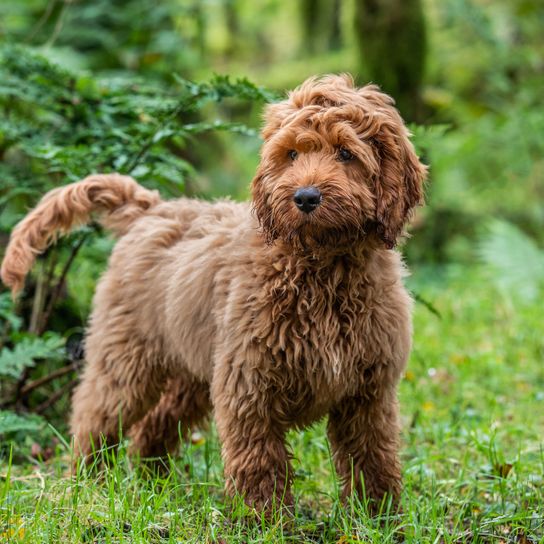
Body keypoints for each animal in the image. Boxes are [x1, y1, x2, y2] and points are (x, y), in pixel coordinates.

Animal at [1, 74, 424, 512]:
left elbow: (372, 455)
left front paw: (378, 514)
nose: (305, 197)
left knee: (154, 425)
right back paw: (88, 484)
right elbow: (259, 458)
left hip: (191, 367)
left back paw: (155, 485)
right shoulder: (249, 382)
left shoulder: (369, 392)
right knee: (94, 415)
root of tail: (152, 208)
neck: (320, 266)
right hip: (126, 357)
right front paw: (264, 517)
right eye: (291, 154)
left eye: (345, 153)